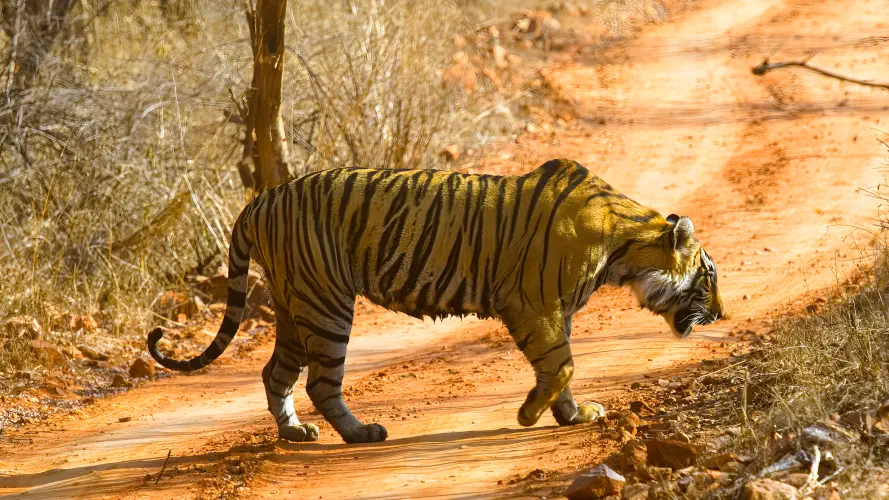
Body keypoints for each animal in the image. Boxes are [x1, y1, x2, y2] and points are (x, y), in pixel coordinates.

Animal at [147, 158, 724, 444]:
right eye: (709, 276)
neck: (624, 251)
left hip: (294, 305)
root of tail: (261, 200)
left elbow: (561, 368)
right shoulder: (532, 304)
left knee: (276, 374)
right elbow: (561, 364)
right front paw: (530, 414)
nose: (722, 313)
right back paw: (360, 433)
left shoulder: (555, 311)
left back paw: (294, 432)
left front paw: (571, 414)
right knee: (320, 381)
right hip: (326, 302)